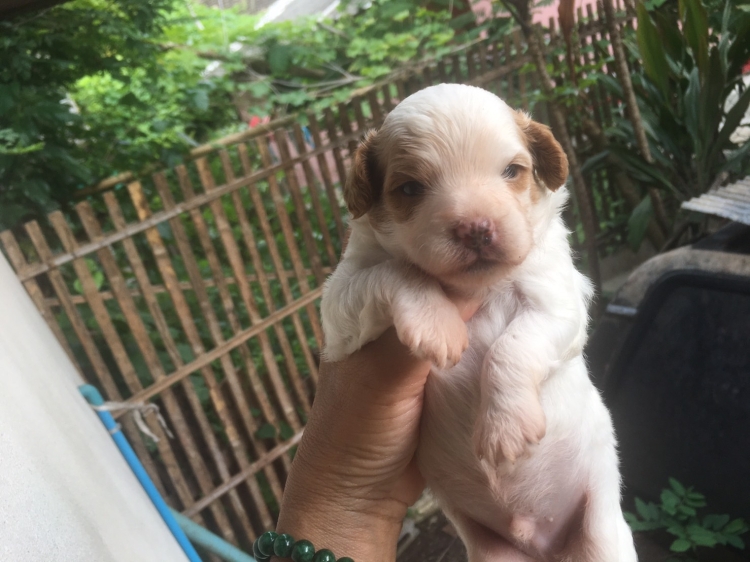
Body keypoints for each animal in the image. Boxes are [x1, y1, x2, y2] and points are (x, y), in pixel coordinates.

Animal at [320, 84, 637, 562]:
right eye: (410, 188)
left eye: (512, 171)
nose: (475, 228)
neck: (479, 288)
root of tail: (539, 543)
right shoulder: (340, 303)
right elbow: (396, 271)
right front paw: (437, 325)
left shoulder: (559, 298)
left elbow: (513, 346)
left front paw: (504, 428)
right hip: (490, 552)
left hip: (602, 536)